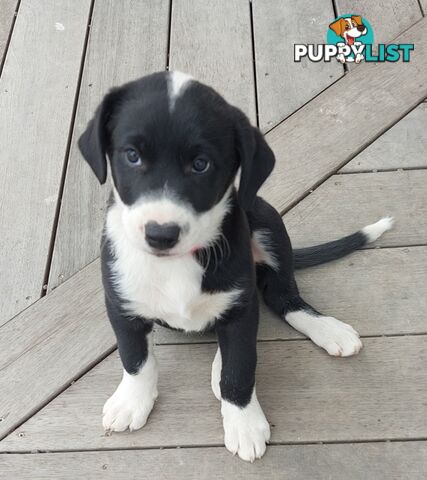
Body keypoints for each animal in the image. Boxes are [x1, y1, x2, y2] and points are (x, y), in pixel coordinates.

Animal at [78, 70, 392, 462]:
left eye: (201, 164)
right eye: (132, 156)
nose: (161, 234)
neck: (179, 263)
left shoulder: (241, 308)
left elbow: (240, 369)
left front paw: (244, 424)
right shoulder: (121, 304)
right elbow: (135, 358)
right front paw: (132, 401)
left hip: (266, 218)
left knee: (281, 297)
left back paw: (326, 329)